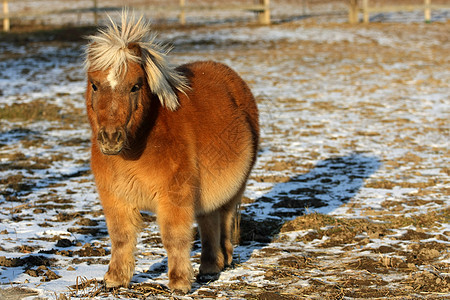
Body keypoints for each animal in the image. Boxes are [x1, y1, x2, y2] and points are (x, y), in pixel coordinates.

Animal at [84, 12, 258, 292]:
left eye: (135, 86)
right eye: (95, 85)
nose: (111, 138)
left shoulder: (174, 197)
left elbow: (174, 238)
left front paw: (178, 283)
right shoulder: (115, 197)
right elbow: (121, 237)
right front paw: (115, 279)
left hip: (234, 188)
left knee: (224, 218)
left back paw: (220, 261)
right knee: (209, 221)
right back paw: (210, 267)